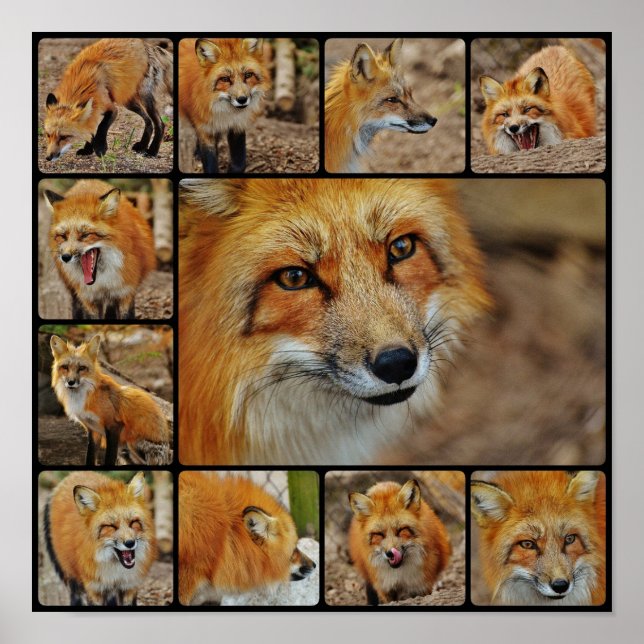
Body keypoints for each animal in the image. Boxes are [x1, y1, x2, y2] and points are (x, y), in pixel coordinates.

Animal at [43, 38, 172, 161]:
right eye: (48, 135)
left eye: (64, 137)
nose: (49, 157)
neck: (79, 86)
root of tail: (147, 45)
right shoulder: (94, 109)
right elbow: (91, 129)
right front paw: (87, 149)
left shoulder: (111, 108)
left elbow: (101, 127)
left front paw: (100, 148)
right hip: (127, 101)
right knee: (148, 122)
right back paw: (142, 146)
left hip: (144, 97)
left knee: (160, 124)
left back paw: (152, 151)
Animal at [43, 471, 156, 606]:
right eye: (111, 526)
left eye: (133, 522)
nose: (130, 543)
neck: (115, 573)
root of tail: (73, 474)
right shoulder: (94, 590)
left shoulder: (129, 586)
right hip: (72, 578)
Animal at [44, 179, 156, 319]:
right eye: (63, 236)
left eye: (85, 235)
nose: (65, 257)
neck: (102, 280)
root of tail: (85, 182)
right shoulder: (88, 297)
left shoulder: (125, 292)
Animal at [50, 334, 172, 466]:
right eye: (65, 367)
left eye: (82, 368)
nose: (71, 382)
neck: (83, 396)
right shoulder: (93, 430)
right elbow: (90, 458)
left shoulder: (113, 426)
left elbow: (109, 459)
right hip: (124, 452)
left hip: (132, 444)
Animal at [179, 38, 270, 173]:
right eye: (225, 79)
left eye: (248, 75)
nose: (242, 99)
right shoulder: (205, 128)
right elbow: (210, 163)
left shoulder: (237, 125)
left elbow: (239, 163)